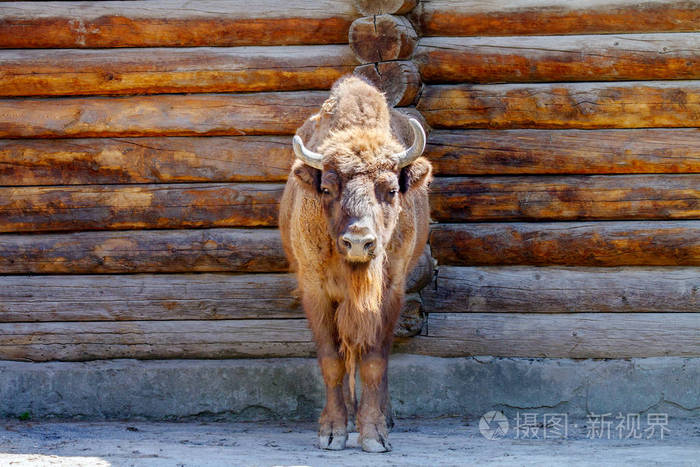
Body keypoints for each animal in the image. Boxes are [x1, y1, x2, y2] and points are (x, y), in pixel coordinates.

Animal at [278, 76, 432, 454]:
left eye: (391, 189)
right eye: (328, 188)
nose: (359, 241)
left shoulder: (389, 293)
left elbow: (375, 361)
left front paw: (375, 433)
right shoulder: (316, 292)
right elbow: (332, 360)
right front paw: (333, 431)